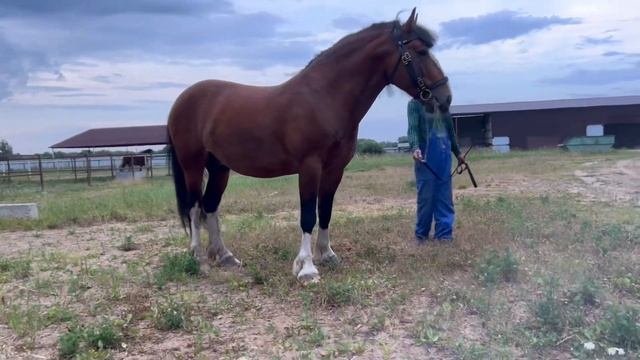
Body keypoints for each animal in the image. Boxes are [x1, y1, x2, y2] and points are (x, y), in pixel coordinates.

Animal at [168, 8, 452, 284]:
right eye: (421, 51)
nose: (445, 98)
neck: (323, 98)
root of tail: (183, 99)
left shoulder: (335, 169)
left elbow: (325, 211)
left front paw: (327, 254)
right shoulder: (309, 167)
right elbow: (307, 216)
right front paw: (306, 269)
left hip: (220, 168)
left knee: (210, 206)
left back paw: (224, 256)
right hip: (192, 165)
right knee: (194, 208)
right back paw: (198, 259)